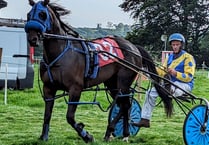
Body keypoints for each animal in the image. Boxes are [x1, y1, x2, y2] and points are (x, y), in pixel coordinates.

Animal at [24, 0, 172, 143]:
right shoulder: (48, 88)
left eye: (42, 14)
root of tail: (133, 47)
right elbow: (47, 114)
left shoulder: (75, 89)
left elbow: (70, 117)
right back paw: (122, 134)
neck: (61, 54)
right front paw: (44, 136)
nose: (32, 38)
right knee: (125, 105)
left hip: (123, 83)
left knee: (125, 105)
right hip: (112, 84)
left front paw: (86, 135)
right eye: (29, 15)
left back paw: (112, 131)